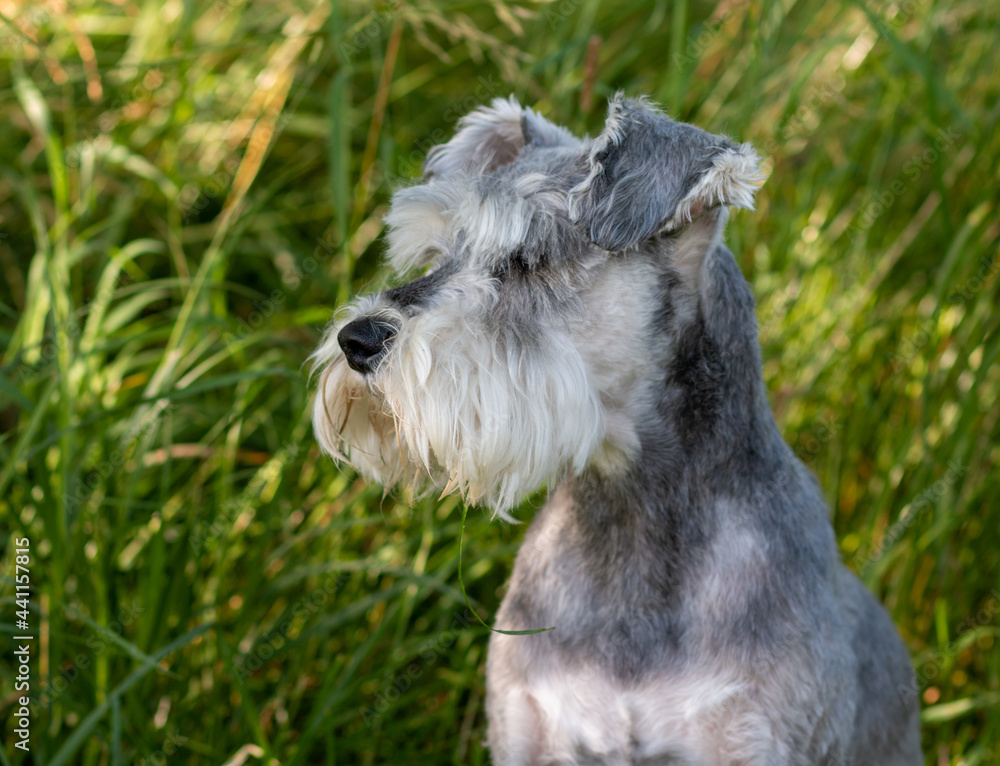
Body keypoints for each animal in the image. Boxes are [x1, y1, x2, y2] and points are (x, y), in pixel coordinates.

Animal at [312, 96, 920, 766]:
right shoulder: (528, 726)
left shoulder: (748, 735)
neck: (631, 516)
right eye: (439, 252)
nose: (357, 339)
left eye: (531, 260)